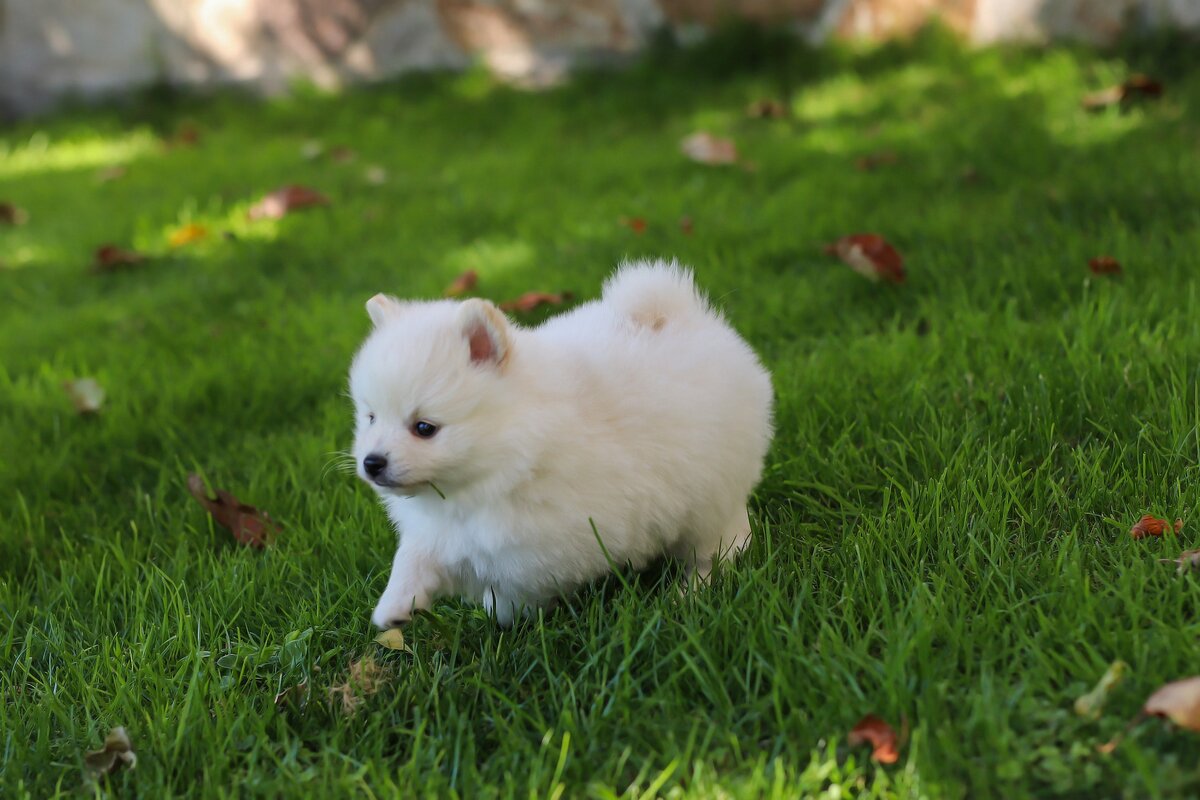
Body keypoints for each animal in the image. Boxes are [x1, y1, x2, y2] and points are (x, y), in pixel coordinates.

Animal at [348, 260, 777, 628]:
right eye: (370, 417)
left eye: (424, 428)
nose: (372, 462)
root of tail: (680, 314)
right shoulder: (439, 529)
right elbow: (413, 557)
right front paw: (395, 607)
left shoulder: (536, 550)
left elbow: (513, 590)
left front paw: (499, 614)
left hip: (709, 493)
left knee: (723, 543)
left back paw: (690, 593)